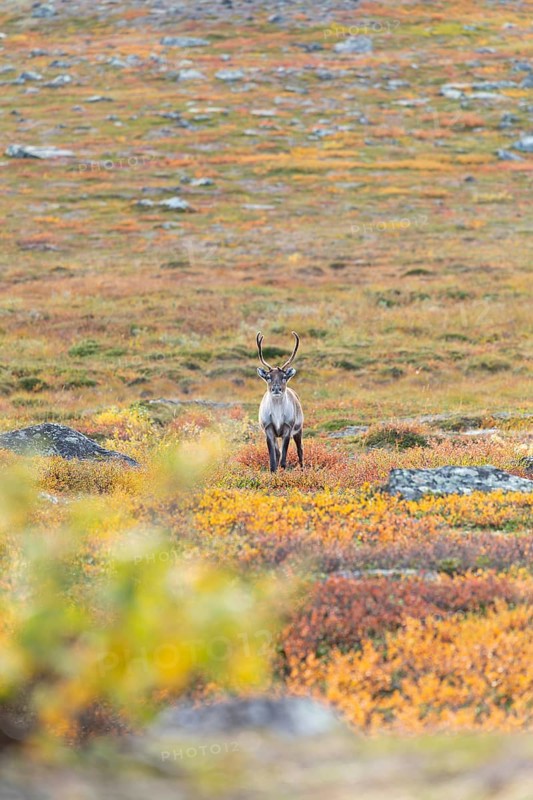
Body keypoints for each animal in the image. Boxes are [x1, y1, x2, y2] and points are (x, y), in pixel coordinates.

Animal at [256, 331, 304, 473]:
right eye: (268, 377)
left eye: (284, 377)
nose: (276, 388)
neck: (277, 415)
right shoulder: (268, 429)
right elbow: (273, 459)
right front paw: (274, 472)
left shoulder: (288, 428)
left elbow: (284, 459)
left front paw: (282, 471)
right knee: (278, 453)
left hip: (299, 429)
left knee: (300, 450)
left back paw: (303, 469)